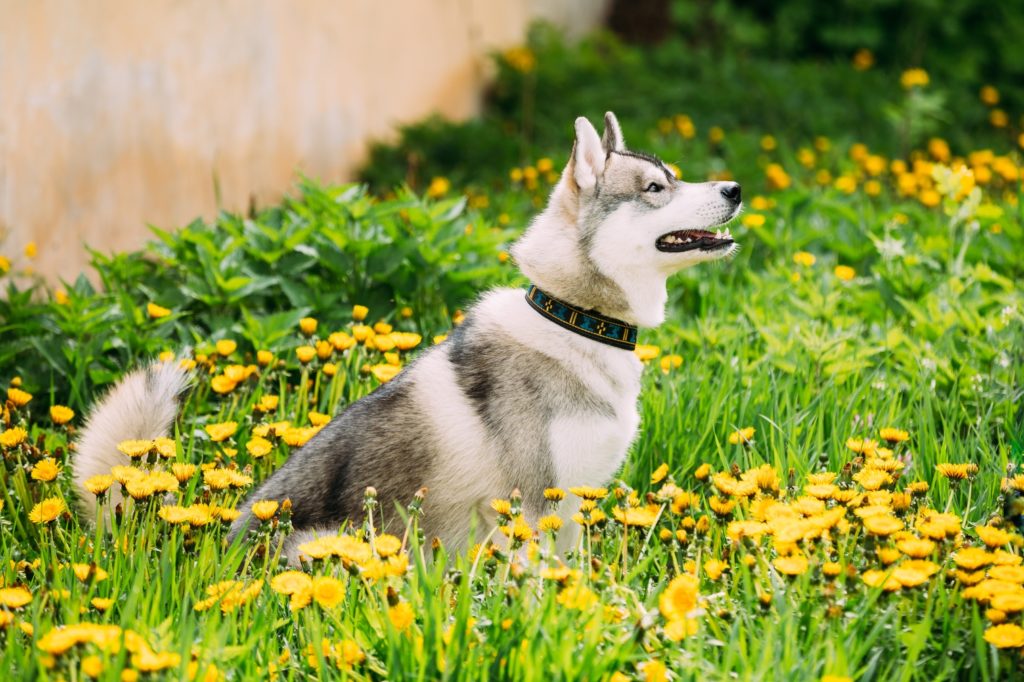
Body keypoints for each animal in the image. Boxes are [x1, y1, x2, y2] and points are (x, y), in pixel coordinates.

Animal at [74, 110, 745, 557]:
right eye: (656, 189)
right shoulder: (535, 508)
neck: (573, 317)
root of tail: (209, 553)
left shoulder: (572, 509)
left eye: (675, 176)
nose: (735, 188)